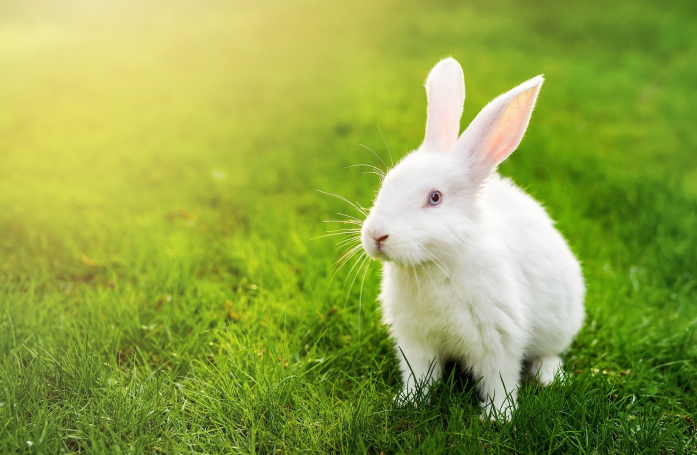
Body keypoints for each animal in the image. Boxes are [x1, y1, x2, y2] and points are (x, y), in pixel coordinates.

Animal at [360, 58, 585, 420]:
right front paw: (408, 402)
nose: (376, 235)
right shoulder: (414, 342)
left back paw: (549, 376)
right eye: (387, 183)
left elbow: (500, 380)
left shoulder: (499, 339)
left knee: (548, 353)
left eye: (435, 198)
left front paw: (498, 418)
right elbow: (419, 376)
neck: (435, 264)